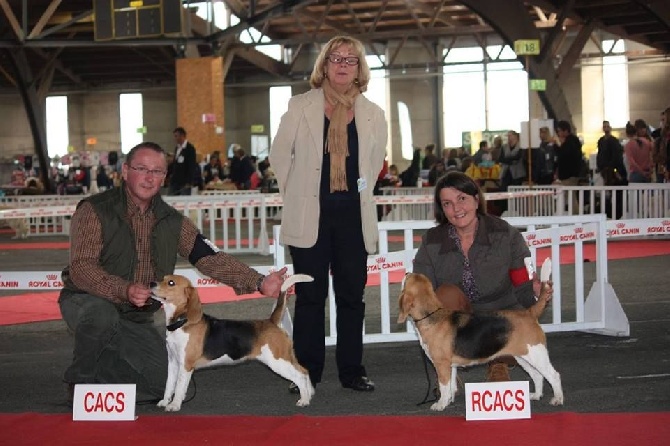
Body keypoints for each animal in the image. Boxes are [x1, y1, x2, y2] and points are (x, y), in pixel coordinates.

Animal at [151, 274, 316, 412]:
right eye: (163, 278)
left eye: (171, 282)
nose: (151, 283)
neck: (181, 322)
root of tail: (272, 322)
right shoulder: (173, 362)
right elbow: (169, 385)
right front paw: (165, 401)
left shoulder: (185, 365)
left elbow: (179, 387)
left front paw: (174, 405)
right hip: (286, 358)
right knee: (304, 371)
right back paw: (309, 394)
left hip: (278, 361)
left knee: (300, 375)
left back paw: (304, 400)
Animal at [402, 268, 564, 412]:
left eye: (408, 279)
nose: (406, 272)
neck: (431, 316)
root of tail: (529, 312)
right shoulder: (450, 366)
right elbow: (451, 386)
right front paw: (447, 401)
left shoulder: (442, 364)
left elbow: (444, 385)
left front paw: (440, 404)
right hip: (523, 357)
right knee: (537, 375)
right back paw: (536, 395)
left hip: (537, 355)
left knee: (554, 375)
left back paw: (557, 399)